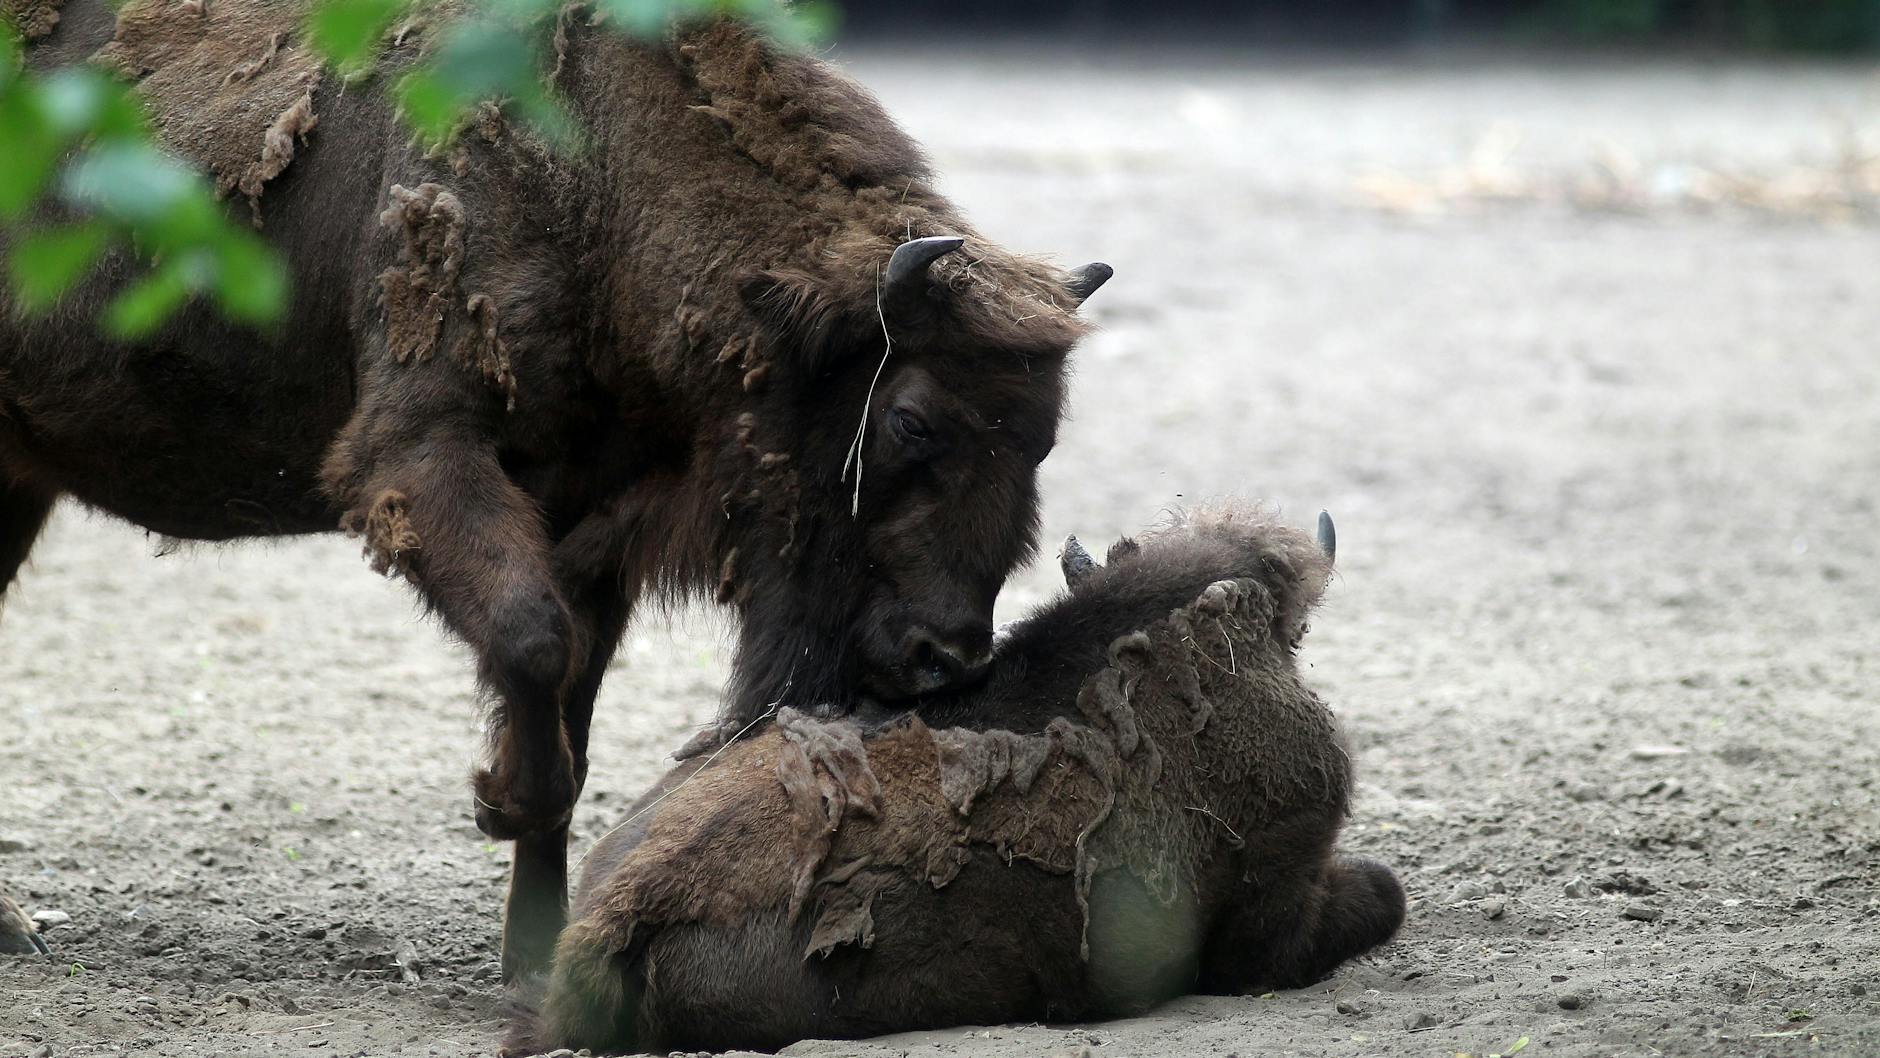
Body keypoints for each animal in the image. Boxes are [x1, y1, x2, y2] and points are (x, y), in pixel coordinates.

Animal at [0, 2, 1111, 977]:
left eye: (1043, 438)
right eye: (910, 418)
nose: (946, 655)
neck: (599, 177)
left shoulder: (589, 518)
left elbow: (571, 695)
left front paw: (531, 952)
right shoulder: (418, 456)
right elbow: (532, 643)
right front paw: (500, 800)